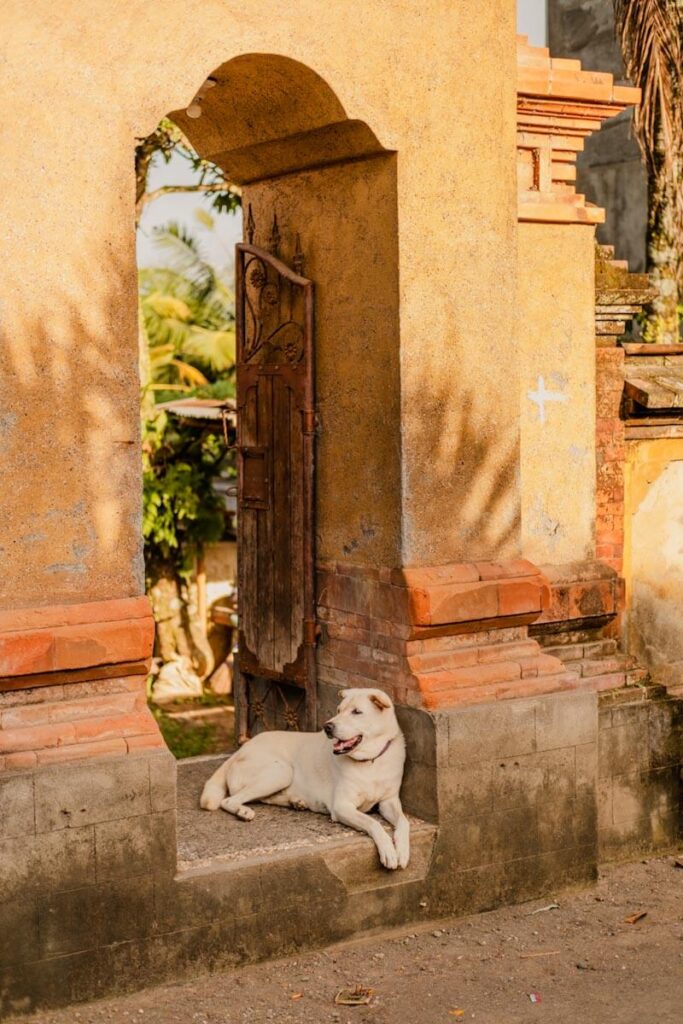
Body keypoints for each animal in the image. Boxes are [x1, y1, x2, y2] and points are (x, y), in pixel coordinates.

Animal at [198, 692, 411, 868]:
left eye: (357, 712)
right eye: (339, 710)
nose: (327, 726)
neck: (371, 761)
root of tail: (240, 750)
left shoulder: (388, 802)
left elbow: (404, 821)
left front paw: (402, 850)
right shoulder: (341, 807)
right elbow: (373, 823)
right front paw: (388, 851)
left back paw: (296, 802)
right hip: (281, 770)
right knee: (230, 800)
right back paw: (243, 811)